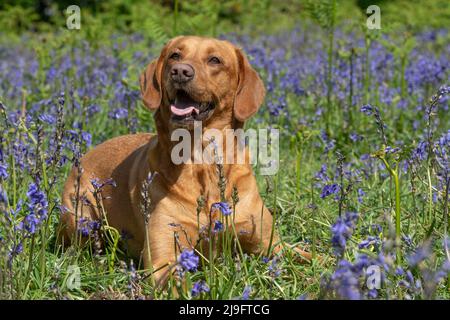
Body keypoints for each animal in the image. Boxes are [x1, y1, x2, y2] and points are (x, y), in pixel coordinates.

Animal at [59, 35, 310, 284]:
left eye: (215, 60)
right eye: (175, 55)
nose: (180, 71)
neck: (202, 161)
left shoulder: (272, 244)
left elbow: (309, 257)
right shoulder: (163, 257)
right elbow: (178, 282)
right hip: (80, 217)